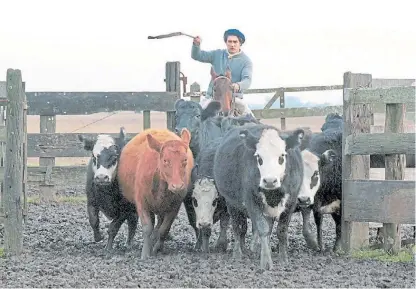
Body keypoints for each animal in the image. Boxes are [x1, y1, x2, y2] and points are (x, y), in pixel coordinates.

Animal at [213, 124, 304, 270]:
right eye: (259, 158)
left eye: (282, 156)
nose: (269, 181)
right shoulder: (252, 201)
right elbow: (262, 228)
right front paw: (266, 261)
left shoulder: (291, 202)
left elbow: (281, 230)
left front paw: (283, 259)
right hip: (231, 203)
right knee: (237, 227)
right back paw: (238, 253)